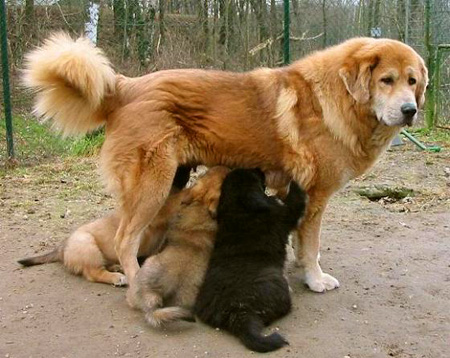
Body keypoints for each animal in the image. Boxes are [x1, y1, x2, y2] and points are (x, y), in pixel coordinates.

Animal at [18, 166, 192, 286]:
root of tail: (62, 248)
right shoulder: (158, 210)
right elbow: (178, 199)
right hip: (87, 247)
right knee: (94, 273)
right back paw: (117, 277)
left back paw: (117, 267)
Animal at [193, 169, 306, 354]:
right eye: (255, 175)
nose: (260, 169)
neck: (239, 208)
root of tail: (238, 313)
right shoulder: (286, 213)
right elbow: (296, 198)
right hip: (276, 283)